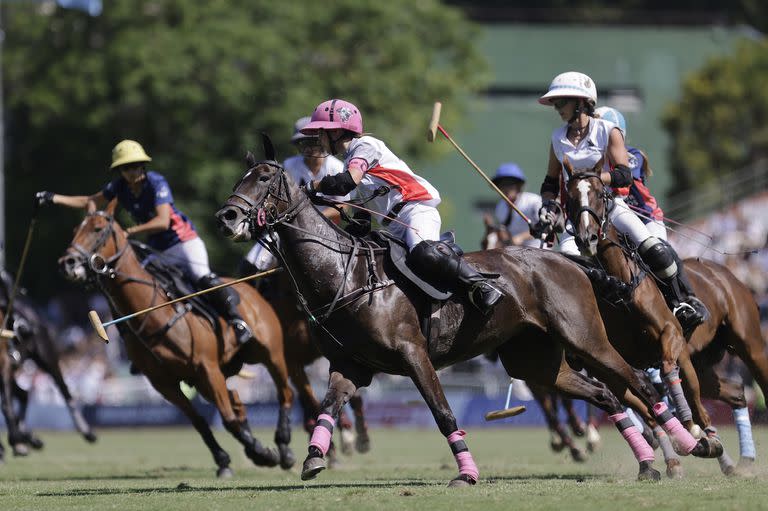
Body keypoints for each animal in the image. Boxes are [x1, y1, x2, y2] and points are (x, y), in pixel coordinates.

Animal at [57, 203, 294, 476]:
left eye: (97, 229)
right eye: (76, 229)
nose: (67, 262)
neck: (152, 313)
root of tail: (250, 289)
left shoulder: (206, 368)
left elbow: (227, 419)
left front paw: (262, 453)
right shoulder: (166, 384)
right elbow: (200, 422)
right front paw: (226, 460)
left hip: (269, 353)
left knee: (284, 393)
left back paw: (284, 450)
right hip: (213, 374)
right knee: (237, 400)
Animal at [213, 138, 716, 486]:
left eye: (264, 177)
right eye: (239, 178)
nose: (227, 217)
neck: (347, 273)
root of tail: (569, 259)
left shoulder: (414, 354)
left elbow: (444, 414)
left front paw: (467, 473)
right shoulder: (350, 365)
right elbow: (327, 405)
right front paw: (314, 457)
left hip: (585, 337)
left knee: (637, 383)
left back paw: (693, 443)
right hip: (535, 360)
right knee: (607, 395)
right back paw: (649, 463)